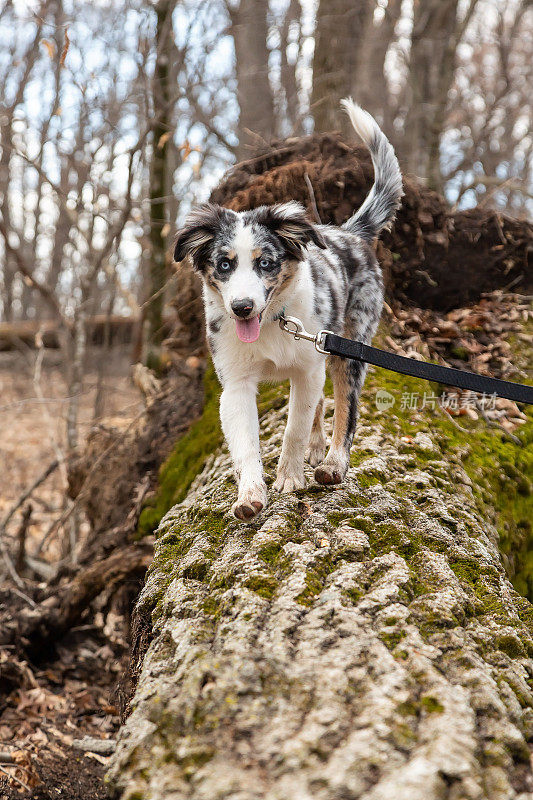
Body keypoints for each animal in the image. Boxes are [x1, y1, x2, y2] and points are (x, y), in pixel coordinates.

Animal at [172, 98, 402, 520]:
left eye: (266, 263)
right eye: (224, 264)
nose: (242, 307)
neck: (272, 325)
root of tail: (350, 232)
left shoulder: (307, 368)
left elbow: (294, 426)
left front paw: (290, 480)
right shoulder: (236, 382)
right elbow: (246, 443)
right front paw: (250, 495)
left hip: (350, 345)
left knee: (345, 407)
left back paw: (332, 463)